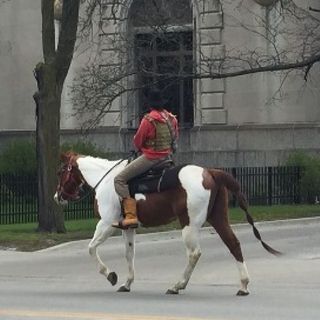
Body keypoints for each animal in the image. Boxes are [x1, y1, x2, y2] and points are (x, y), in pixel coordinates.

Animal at [54, 151, 280, 296]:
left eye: (60, 172)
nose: (57, 197)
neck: (107, 180)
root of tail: (210, 172)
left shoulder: (107, 224)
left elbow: (91, 248)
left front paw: (111, 275)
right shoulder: (127, 228)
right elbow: (129, 254)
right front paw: (127, 283)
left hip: (189, 225)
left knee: (194, 253)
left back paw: (177, 285)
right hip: (218, 218)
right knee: (233, 244)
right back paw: (243, 286)